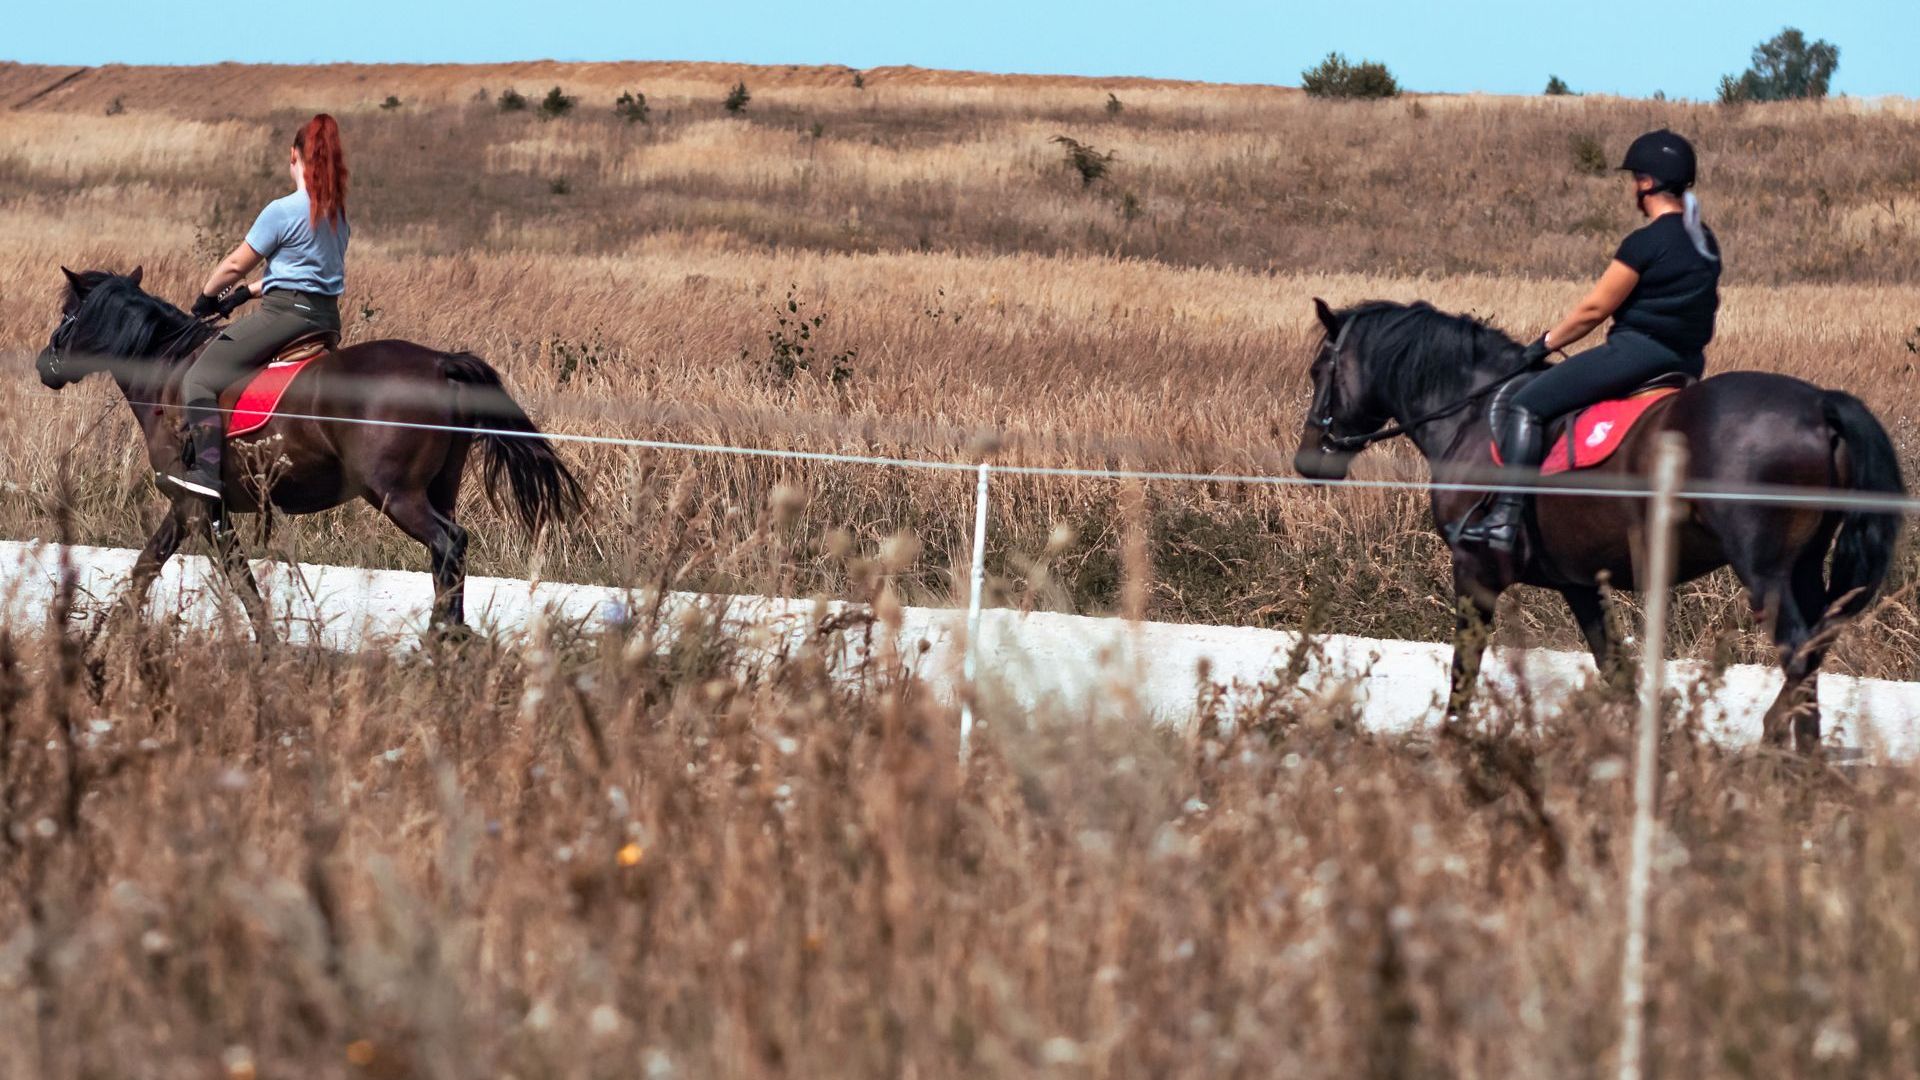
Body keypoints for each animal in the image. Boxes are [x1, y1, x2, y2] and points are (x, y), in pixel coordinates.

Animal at [31, 267, 583, 630]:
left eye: (67, 312)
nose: (44, 366)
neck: (168, 372)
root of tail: (441, 362)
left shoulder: (196, 504)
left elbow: (234, 578)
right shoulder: (190, 505)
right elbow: (148, 565)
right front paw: (108, 633)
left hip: (395, 493)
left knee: (448, 543)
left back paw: (440, 639)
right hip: (440, 487)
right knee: (448, 555)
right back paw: (453, 636)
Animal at [1290, 294, 1904, 749]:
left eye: (1321, 368)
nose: (1308, 461)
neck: (1468, 413)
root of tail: (1819, 404)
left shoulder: (1474, 569)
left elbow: (1465, 662)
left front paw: (1452, 741)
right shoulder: (1579, 582)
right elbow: (1615, 668)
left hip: (1764, 568)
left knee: (1799, 646)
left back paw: (1782, 746)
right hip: (1803, 563)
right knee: (1820, 639)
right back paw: (1797, 746)